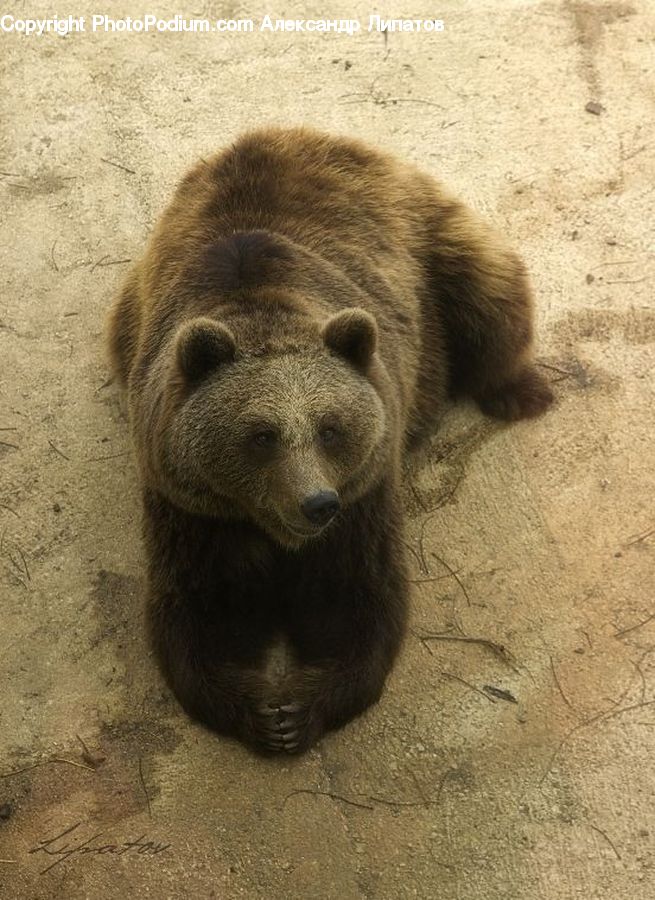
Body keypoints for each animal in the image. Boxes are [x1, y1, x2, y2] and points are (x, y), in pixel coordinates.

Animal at [107, 126, 553, 755]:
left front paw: (300, 709)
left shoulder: (363, 494)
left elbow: (355, 596)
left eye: (330, 427)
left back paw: (519, 390)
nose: (316, 503)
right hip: (125, 316)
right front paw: (262, 714)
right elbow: (199, 608)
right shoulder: (191, 506)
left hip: (431, 245)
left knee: (490, 291)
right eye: (261, 435)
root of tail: (303, 133)